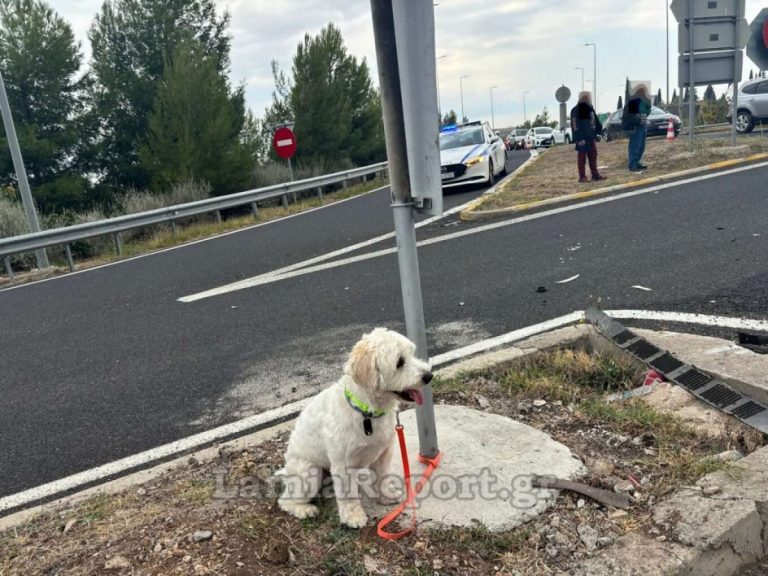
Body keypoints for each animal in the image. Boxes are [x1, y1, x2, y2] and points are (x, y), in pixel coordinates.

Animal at [278, 328, 436, 528]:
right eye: (399, 362)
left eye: (412, 354)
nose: (428, 376)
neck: (367, 411)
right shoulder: (343, 464)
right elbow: (348, 495)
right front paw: (353, 517)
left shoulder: (383, 453)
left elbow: (383, 477)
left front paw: (386, 495)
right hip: (308, 473)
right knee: (285, 501)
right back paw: (304, 509)